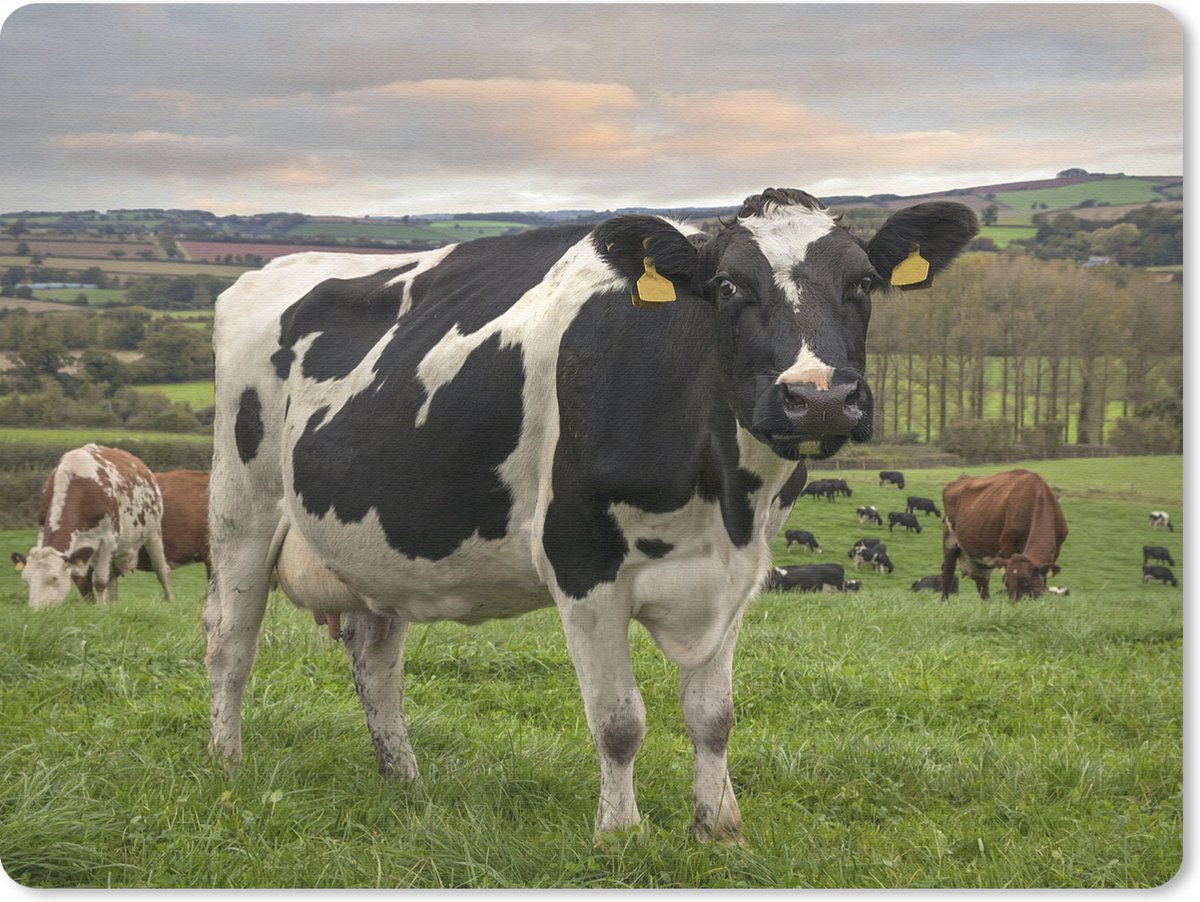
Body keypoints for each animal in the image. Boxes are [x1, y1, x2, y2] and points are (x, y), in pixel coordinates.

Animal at [12, 444, 173, 609]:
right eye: (26, 580)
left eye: (54, 578)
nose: (38, 610)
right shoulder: (44, 531)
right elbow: (84, 581)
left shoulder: (107, 540)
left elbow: (100, 581)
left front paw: (101, 609)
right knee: (112, 576)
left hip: (153, 533)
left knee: (161, 570)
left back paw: (169, 601)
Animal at [202, 186, 976, 843]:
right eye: (730, 286)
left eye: (863, 284)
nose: (817, 398)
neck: (720, 494)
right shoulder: (582, 564)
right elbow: (619, 722)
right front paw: (620, 835)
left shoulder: (739, 572)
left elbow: (714, 718)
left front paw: (718, 828)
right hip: (241, 507)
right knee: (230, 642)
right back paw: (226, 765)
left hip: (376, 549)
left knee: (375, 656)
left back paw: (404, 781)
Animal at [941, 469, 1068, 602]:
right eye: (1006, 582)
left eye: (1026, 583)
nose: (1014, 603)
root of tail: (962, 478)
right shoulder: (1008, 545)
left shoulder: (1056, 549)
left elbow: (1045, 578)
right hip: (949, 539)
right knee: (947, 573)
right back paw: (945, 602)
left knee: (982, 582)